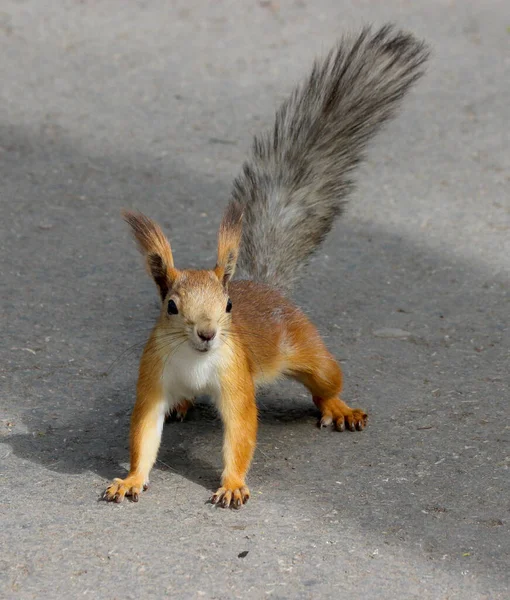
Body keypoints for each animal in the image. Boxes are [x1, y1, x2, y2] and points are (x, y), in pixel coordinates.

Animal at [102, 25, 426, 508]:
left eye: (228, 306)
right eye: (171, 307)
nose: (207, 333)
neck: (195, 360)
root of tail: (264, 285)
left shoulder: (236, 378)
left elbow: (240, 428)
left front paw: (233, 484)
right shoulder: (153, 377)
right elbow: (144, 433)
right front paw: (131, 479)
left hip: (307, 348)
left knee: (326, 381)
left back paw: (339, 408)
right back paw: (184, 405)